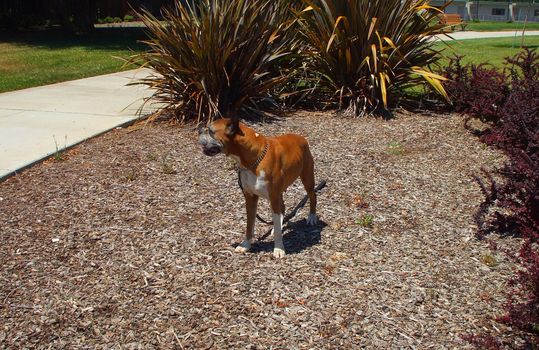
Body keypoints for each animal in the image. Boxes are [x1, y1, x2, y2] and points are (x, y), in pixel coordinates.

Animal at [198, 117, 316, 258]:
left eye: (210, 131)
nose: (199, 129)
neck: (252, 159)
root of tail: (302, 138)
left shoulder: (273, 197)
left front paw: (279, 249)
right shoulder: (250, 198)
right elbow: (249, 225)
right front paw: (246, 245)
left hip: (307, 179)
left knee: (312, 196)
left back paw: (311, 217)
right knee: (282, 208)